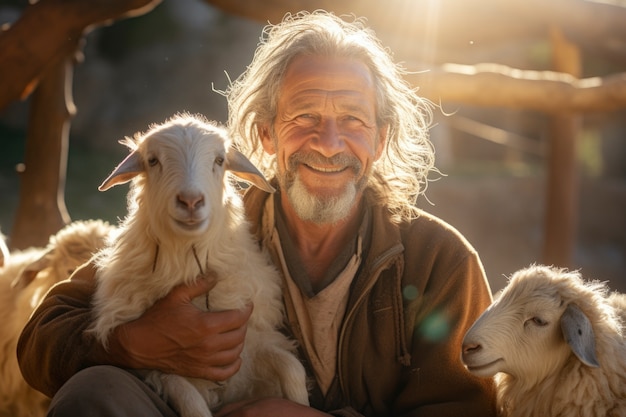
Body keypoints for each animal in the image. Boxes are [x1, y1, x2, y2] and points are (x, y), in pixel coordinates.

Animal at [89, 113, 308, 416]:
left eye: (219, 160)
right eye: (153, 161)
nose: (190, 201)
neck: (188, 262)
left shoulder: (254, 343)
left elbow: (293, 369)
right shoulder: (160, 367)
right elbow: (191, 402)